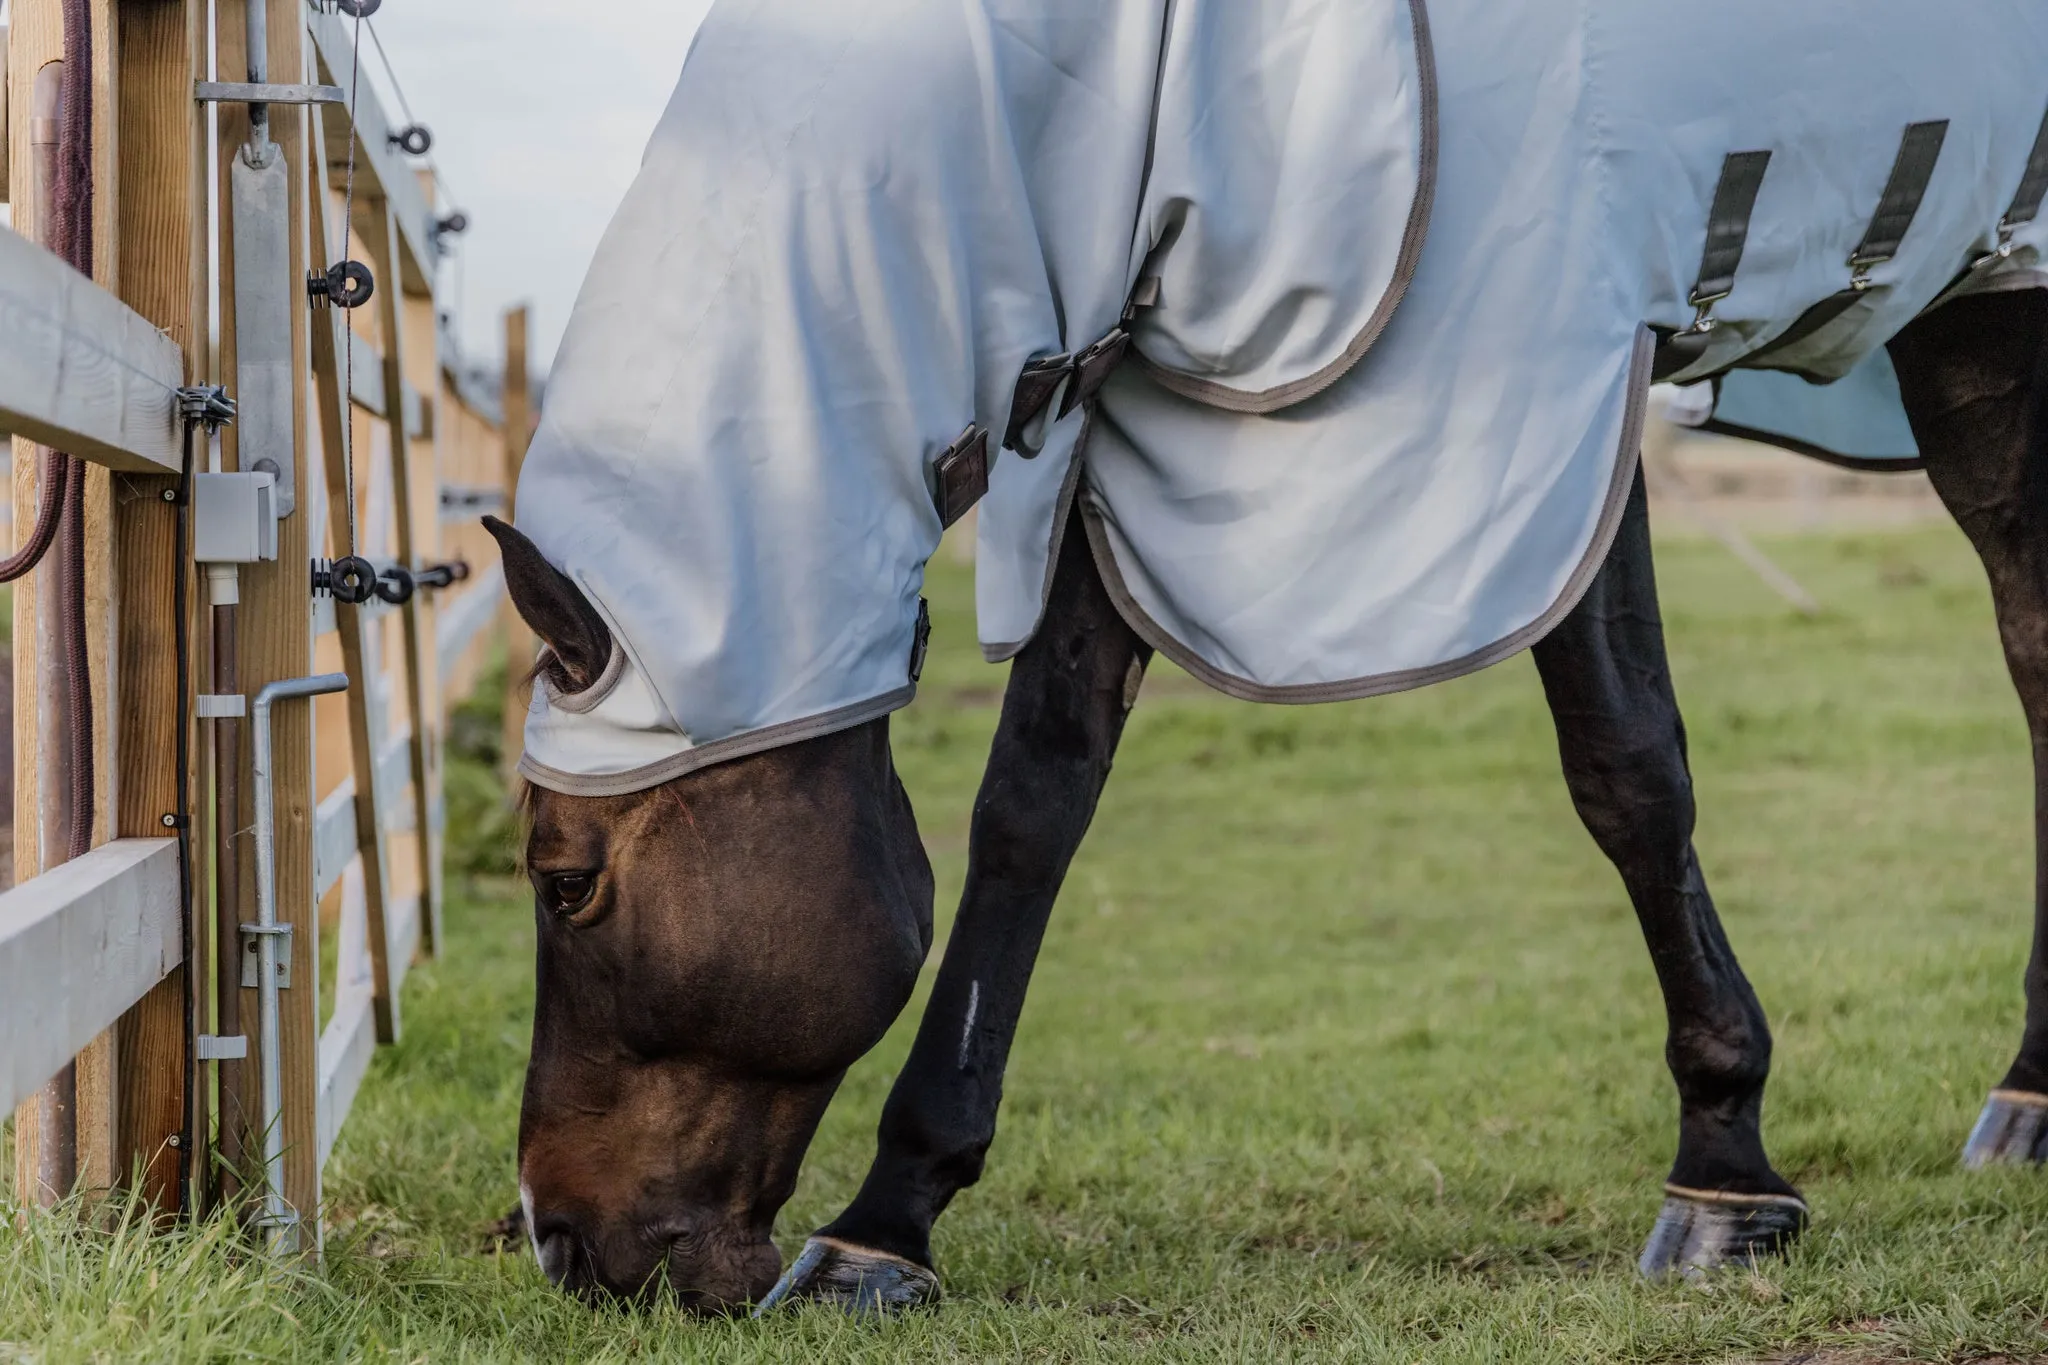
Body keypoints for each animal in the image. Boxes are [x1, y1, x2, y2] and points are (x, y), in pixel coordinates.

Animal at [483, 0, 2048, 1309]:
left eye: (563, 882)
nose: (560, 1243)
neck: (1160, 57)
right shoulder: (1129, 416)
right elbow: (1031, 807)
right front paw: (888, 1221)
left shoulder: (1554, 406)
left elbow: (1627, 774)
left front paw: (1724, 1172)